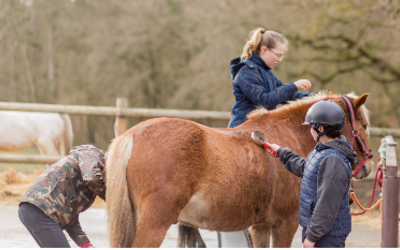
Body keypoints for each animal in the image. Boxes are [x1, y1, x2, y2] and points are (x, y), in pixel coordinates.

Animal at [105, 92, 372, 248]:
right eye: (365, 125)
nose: (368, 164)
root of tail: (131, 136)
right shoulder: (285, 223)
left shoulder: (261, 226)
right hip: (154, 223)